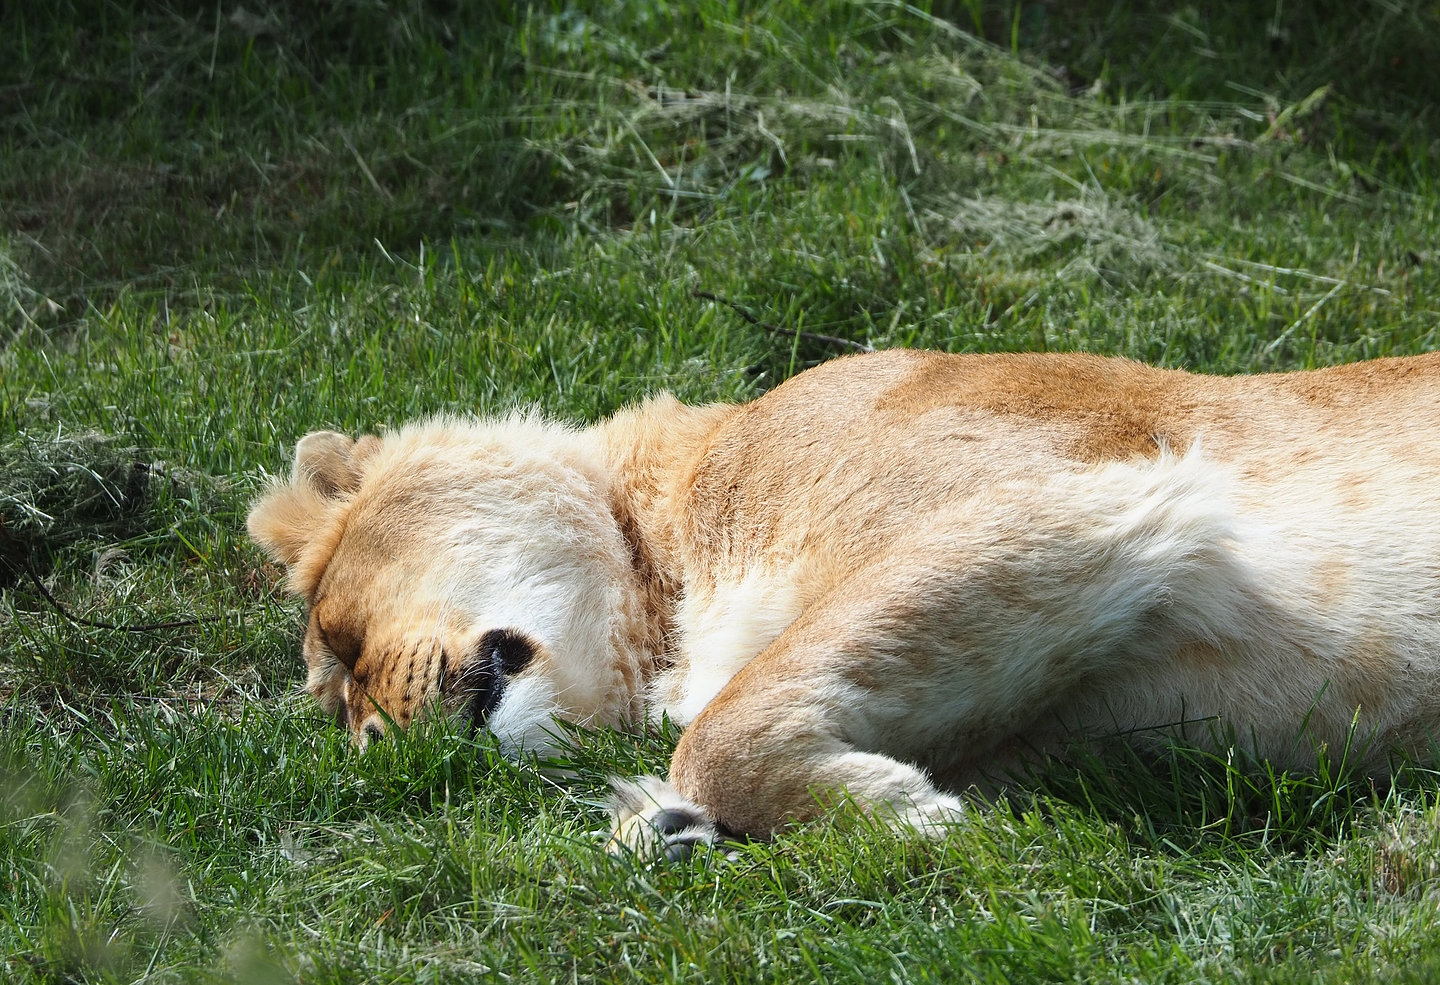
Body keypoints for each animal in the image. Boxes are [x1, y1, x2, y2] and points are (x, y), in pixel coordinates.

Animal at [247, 349, 1440, 859]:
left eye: (341, 647)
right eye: (338, 700)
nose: (375, 745)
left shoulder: (1094, 491)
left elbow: (720, 734)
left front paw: (914, 817)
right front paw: (661, 827)